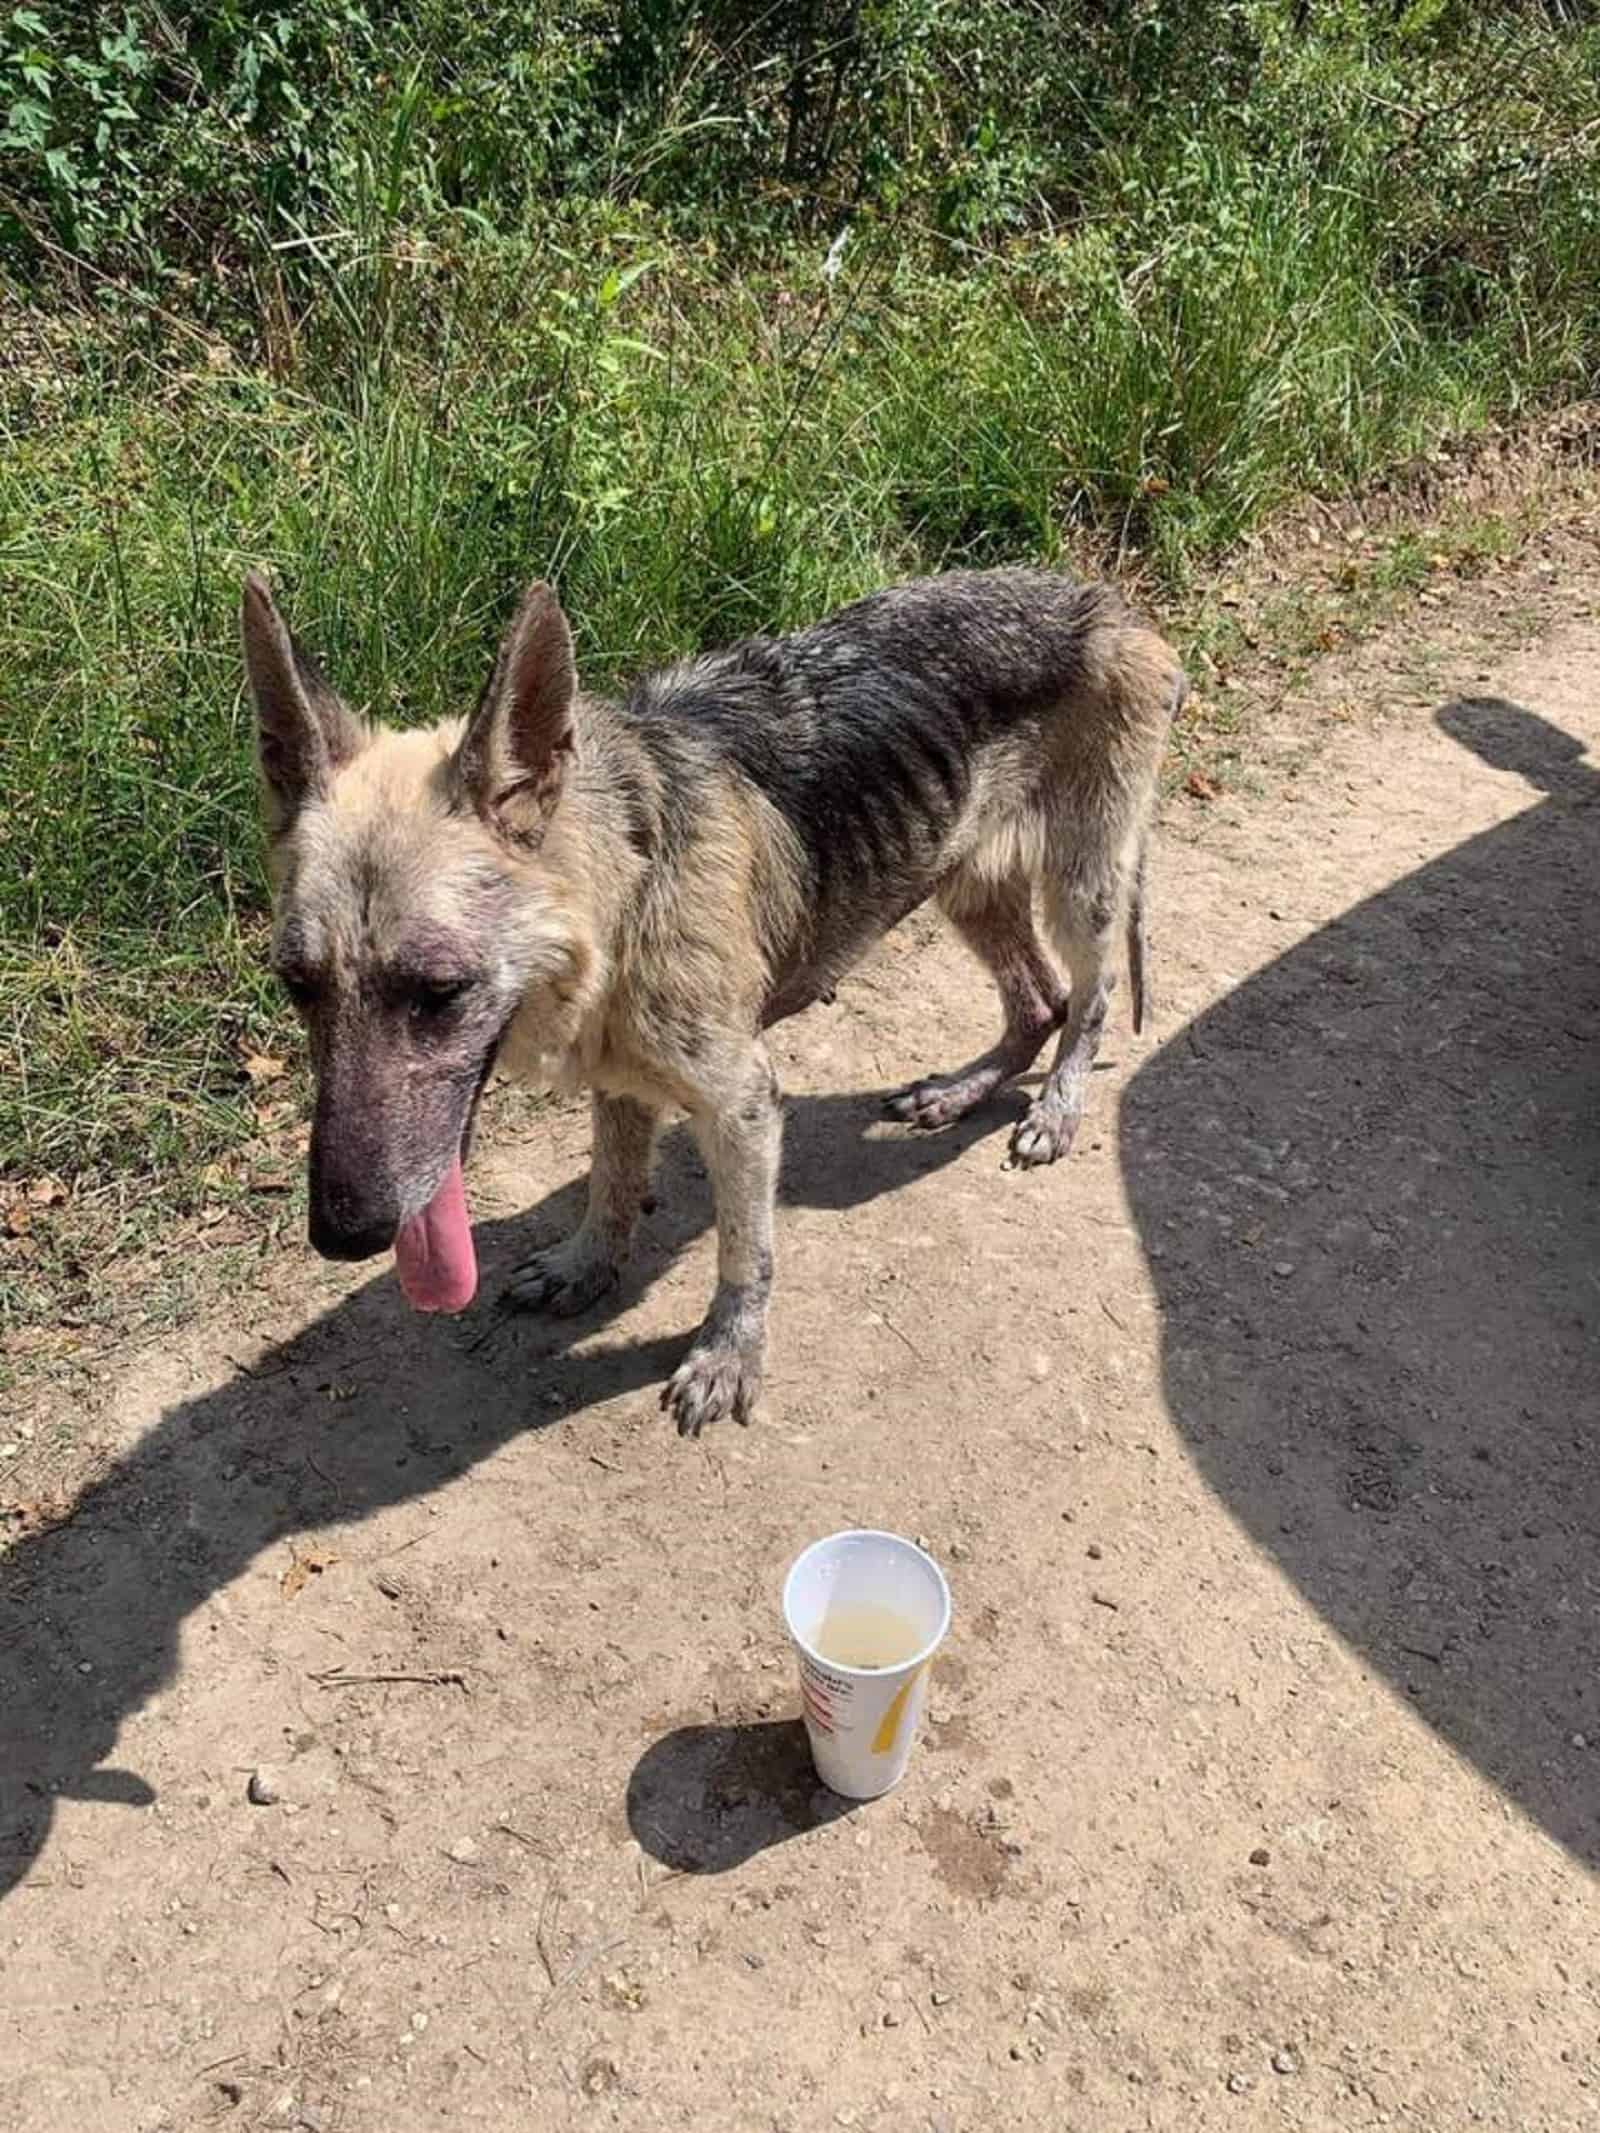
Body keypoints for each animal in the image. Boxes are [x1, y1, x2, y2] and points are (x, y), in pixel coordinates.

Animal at [244, 567, 1186, 1433]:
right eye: (299, 986)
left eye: (440, 991)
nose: (342, 1234)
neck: (622, 887)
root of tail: (1107, 603)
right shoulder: (620, 1081)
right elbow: (611, 1185)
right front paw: (587, 1264)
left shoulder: (743, 1107)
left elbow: (746, 1252)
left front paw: (730, 1354)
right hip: (963, 880)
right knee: (1037, 1001)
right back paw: (960, 1090)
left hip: (1081, 889)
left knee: (1088, 1000)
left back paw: (1058, 1107)